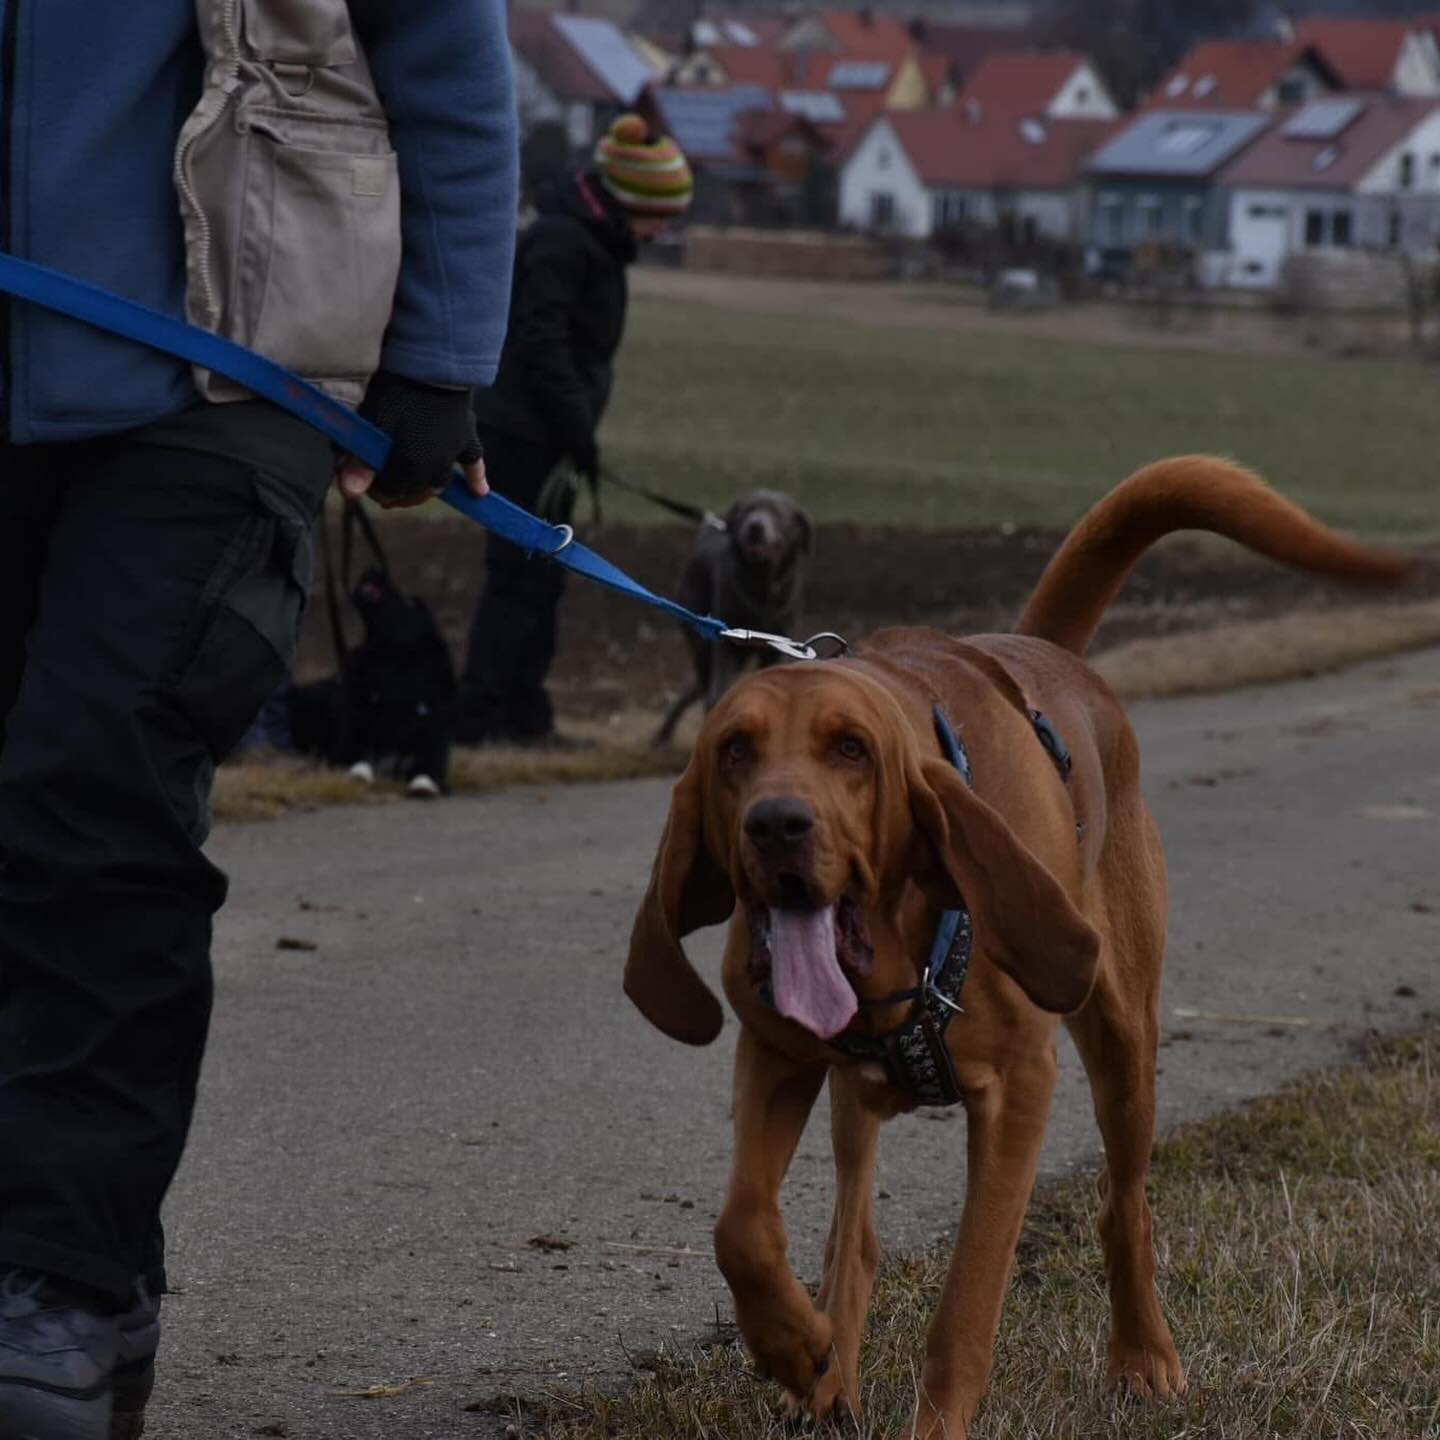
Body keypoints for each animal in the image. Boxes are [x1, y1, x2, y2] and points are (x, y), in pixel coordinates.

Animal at [653, 489, 812, 748]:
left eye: (778, 512)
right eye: (747, 510)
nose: (755, 526)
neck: (762, 588)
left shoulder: (776, 649)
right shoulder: (725, 646)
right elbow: (718, 694)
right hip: (704, 647)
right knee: (703, 685)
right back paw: (663, 735)